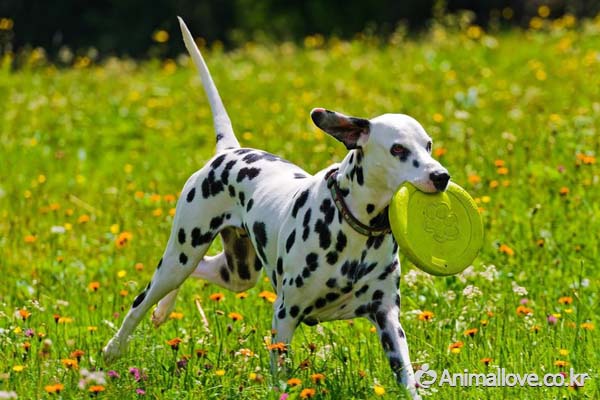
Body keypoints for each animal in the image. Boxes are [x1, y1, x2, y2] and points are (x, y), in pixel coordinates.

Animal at [104, 18, 450, 400]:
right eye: (398, 149)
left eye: (428, 145)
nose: (441, 176)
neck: (355, 230)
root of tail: (228, 150)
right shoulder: (285, 313)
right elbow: (280, 373)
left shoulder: (387, 317)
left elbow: (407, 374)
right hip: (180, 255)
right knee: (142, 301)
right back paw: (114, 348)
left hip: (237, 272)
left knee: (201, 270)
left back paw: (163, 311)